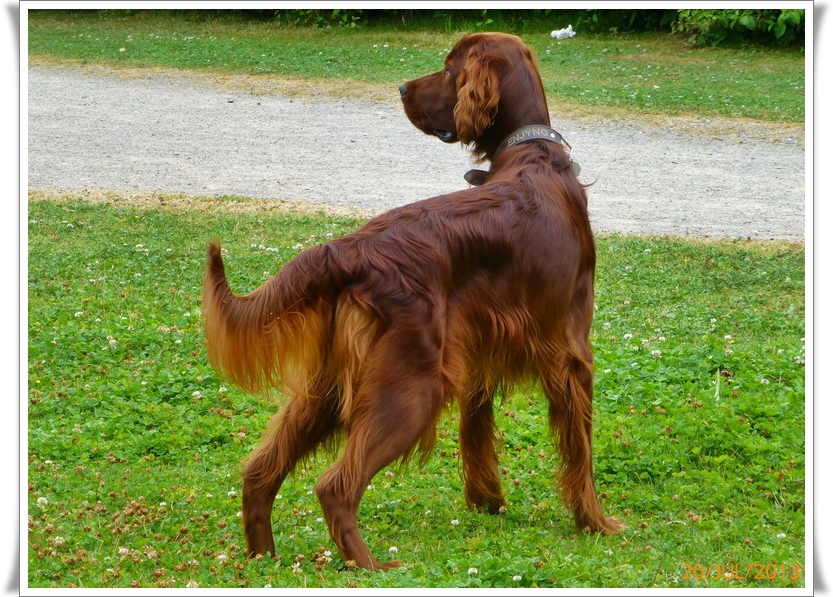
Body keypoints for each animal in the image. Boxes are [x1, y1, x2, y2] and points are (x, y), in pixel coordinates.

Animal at [202, 32, 622, 571]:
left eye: (447, 71)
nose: (401, 87)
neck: (532, 154)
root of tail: (350, 249)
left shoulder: (478, 349)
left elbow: (477, 432)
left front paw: (487, 500)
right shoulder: (573, 354)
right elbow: (581, 449)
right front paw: (595, 521)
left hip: (333, 386)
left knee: (260, 470)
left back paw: (264, 559)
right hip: (412, 386)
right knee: (335, 485)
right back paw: (371, 566)